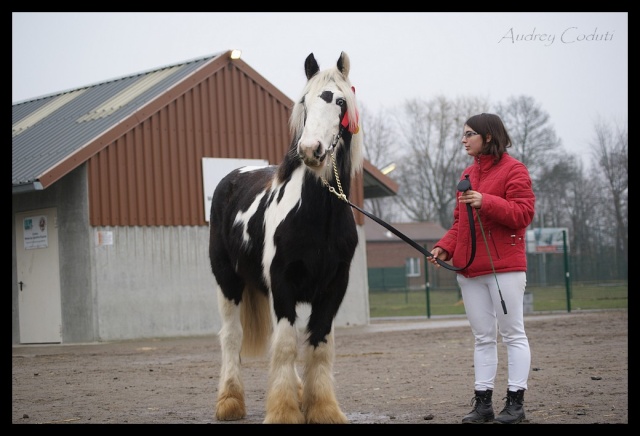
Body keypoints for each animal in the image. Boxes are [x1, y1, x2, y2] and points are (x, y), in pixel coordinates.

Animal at [209, 51, 362, 422]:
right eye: (304, 101)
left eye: (339, 101)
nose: (310, 149)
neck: (317, 217)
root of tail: (235, 175)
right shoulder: (282, 284)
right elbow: (286, 345)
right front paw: (283, 411)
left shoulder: (333, 288)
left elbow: (317, 344)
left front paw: (321, 408)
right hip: (227, 282)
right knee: (232, 337)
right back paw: (230, 401)